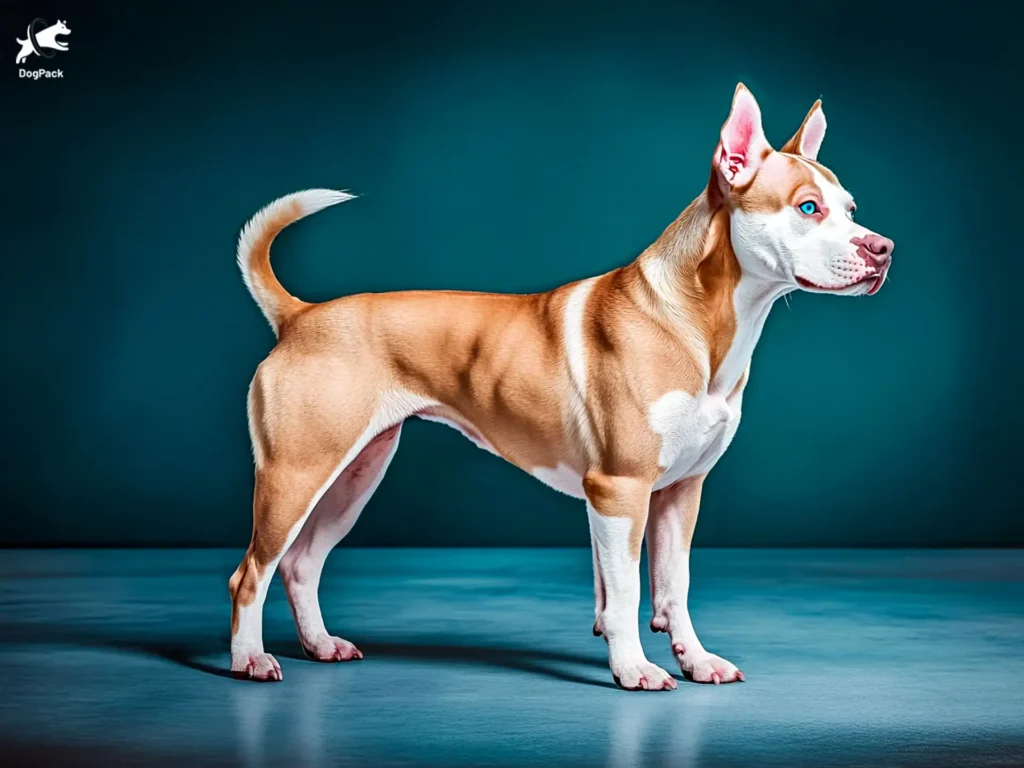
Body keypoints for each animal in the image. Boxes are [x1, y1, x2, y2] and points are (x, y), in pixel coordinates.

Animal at [228, 85, 892, 692]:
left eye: (850, 208)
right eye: (807, 209)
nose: (881, 248)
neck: (697, 322)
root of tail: (300, 316)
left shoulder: (681, 493)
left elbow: (673, 590)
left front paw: (697, 660)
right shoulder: (620, 490)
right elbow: (624, 594)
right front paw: (634, 669)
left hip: (355, 474)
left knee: (301, 565)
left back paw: (320, 646)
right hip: (296, 474)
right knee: (252, 572)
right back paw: (250, 659)